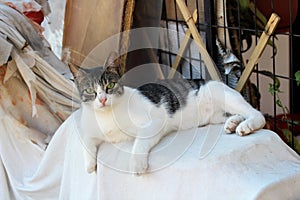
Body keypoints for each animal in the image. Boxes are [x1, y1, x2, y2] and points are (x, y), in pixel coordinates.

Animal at [69, 52, 264, 175]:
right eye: (90, 90)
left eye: (109, 86)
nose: (102, 99)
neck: (107, 116)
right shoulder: (90, 132)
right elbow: (87, 142)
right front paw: (89, 165)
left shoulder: (154, 124)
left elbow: (138, 144)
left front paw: (136, 164)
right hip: (216, 115)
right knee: (233, 115)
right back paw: (233, 123)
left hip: (222, 94)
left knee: (256, 114)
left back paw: (246, 125)